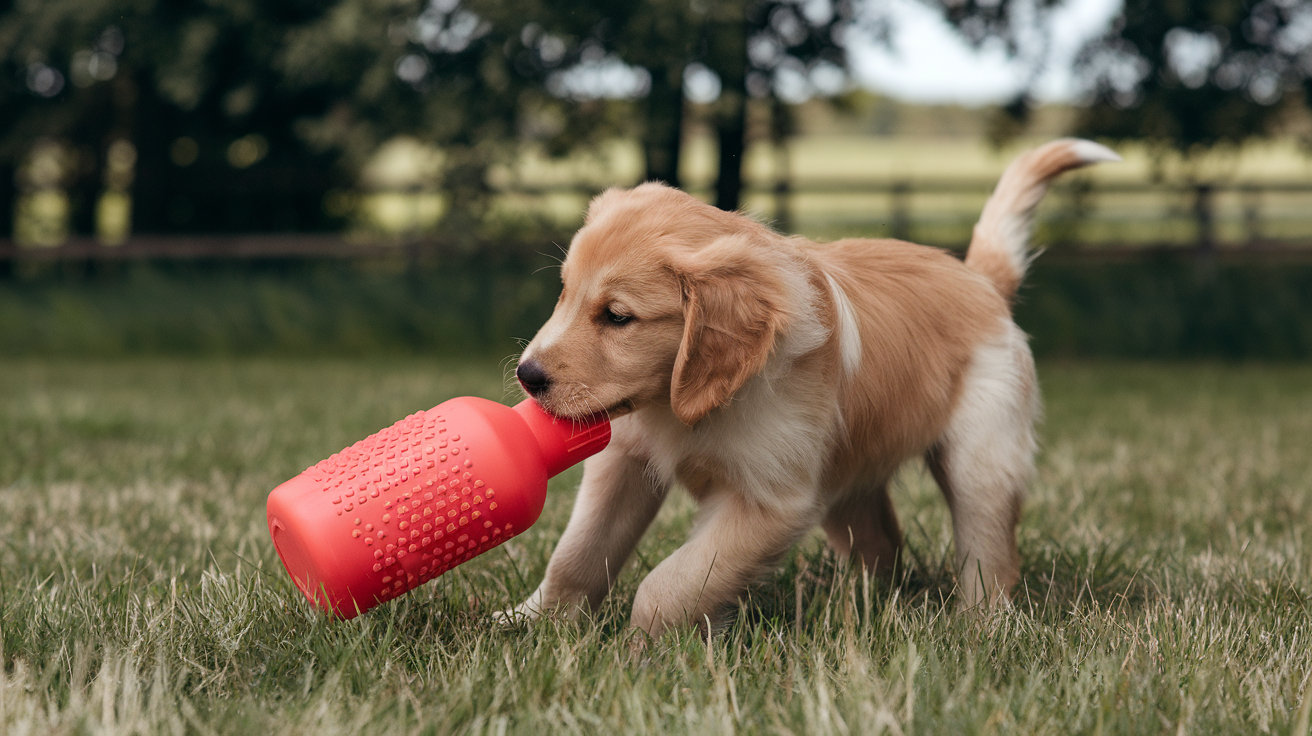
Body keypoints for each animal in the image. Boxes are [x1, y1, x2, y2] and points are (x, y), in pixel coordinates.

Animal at [506, 140, 1112, 634]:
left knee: (989, 555)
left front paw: (642, 653)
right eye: (564, 293)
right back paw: (859, 606)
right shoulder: (625, 462)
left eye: (617, 317)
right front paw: (530, 622)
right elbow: (577, 554)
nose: (527, 376)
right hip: (846, 478)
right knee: (883, 544)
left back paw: (979, 626)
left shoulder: (771, 502)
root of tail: (980, 278)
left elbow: (670, 584)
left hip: (981, 458)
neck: (690, 406)